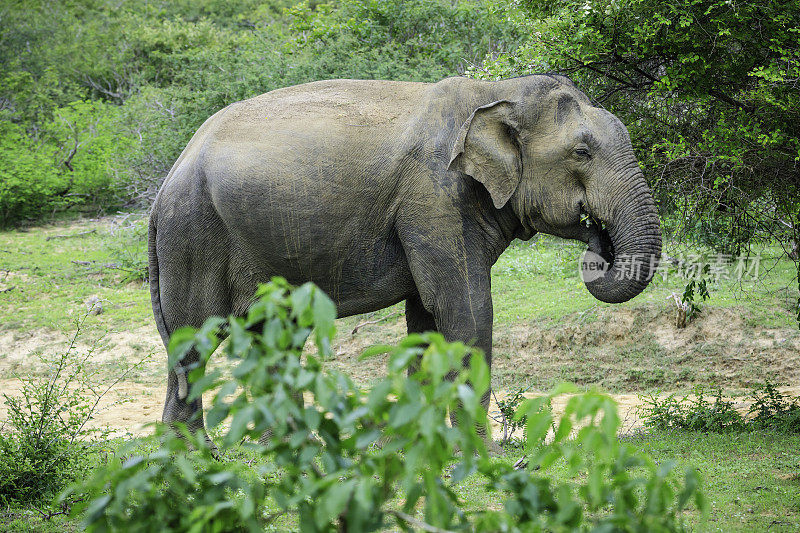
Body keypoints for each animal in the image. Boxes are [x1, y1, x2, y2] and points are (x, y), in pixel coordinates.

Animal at [148, 75, 664, 446]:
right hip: (194, 235)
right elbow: (465, 310)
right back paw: (197, 455)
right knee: (195, 341)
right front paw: (481, 455)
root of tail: (165, 183)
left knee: (272, 339)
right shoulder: (436, 198)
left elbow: (426, 320)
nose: (596, 240)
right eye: (582, 152)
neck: (497, 91)